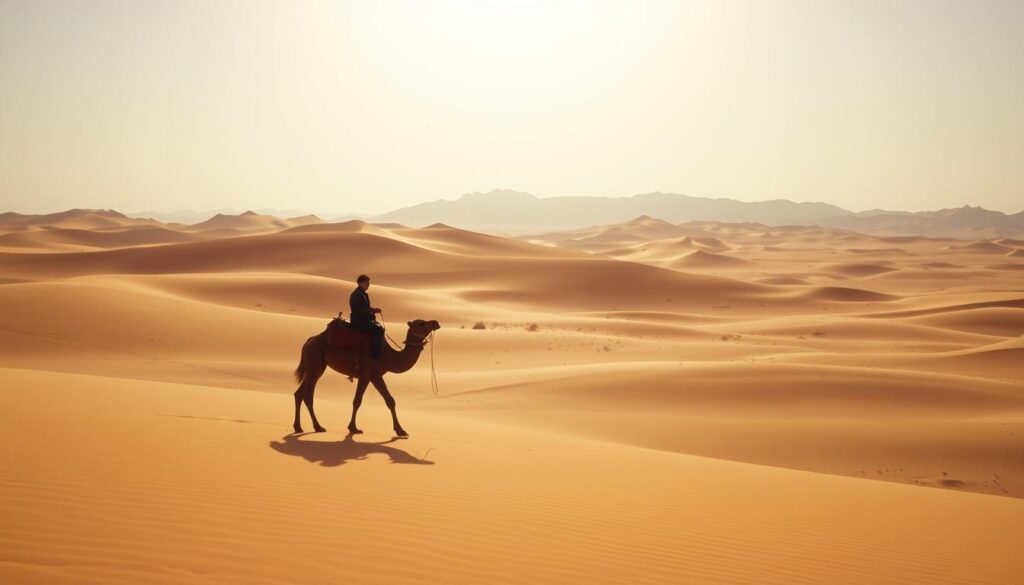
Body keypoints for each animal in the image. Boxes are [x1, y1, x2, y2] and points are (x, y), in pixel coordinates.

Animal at [292, 319, 440, 437]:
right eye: (421, 323)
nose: (436, 322)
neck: (388, 356)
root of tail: (309, 341)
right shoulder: (372, 374)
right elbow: (383, 400)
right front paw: (400, 430)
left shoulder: (369, 376)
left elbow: (362, 401)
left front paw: (353, 428)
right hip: (315, 362)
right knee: (308, 396)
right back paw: (318, 426)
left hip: (316, 365)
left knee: (299, 393)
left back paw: (298, 427)